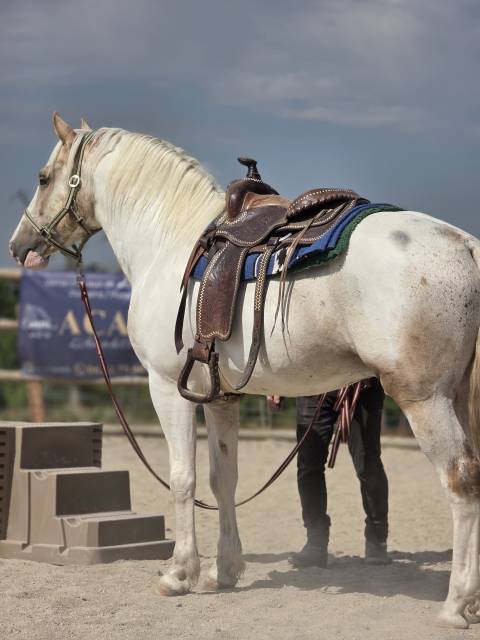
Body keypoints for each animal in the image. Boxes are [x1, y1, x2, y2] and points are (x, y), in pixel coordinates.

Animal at [9, 113, 480, 628]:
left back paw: (456, 604)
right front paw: (224, 570)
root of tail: (465, 245)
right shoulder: (219, 397)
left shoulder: (167, 389)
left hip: (426, 399)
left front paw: (179, 573)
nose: (19, 245)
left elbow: (183, 477)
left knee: (461, 481)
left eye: (42, 178)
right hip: (458, 397)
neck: (169, 243)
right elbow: (223, 479)